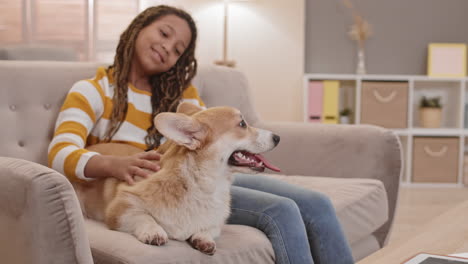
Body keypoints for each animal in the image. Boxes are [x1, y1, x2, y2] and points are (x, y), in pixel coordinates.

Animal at [72, 102, 278, 255]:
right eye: (242, 124)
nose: (277, 137)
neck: (204, 184)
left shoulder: (216, 222)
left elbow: (209, 228)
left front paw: (203, 238)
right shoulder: (121, 207)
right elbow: (144, 216)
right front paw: (154, 231)